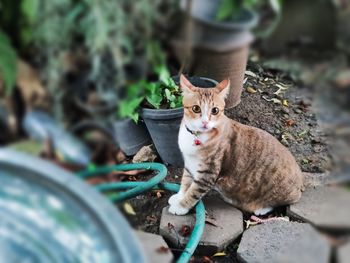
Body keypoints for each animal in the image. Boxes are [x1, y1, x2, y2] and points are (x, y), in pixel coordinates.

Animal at [167, 75, 304, 217]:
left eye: (215, 110)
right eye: (196, 108)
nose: (205, 122)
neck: (196, 135)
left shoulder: (208, 173)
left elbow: (193, 192)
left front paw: (181, 206)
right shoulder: (189, 164)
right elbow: (185, 182)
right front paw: (179, 197)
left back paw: (261, 208)